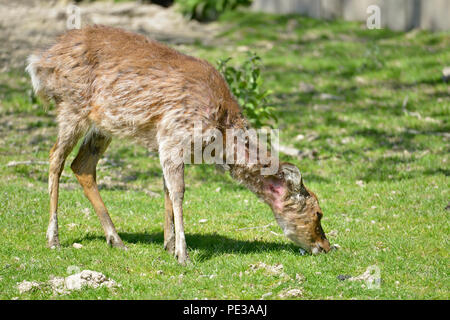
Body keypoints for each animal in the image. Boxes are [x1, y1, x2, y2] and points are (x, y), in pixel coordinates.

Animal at [27, 25, 330, 264]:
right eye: (318, 213)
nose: (326, 247)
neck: (220, 133)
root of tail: (38, 62)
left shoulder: (172, 146)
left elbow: (166, 190)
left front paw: (169, 245)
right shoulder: (172, 135)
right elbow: (178, 192)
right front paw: (183, 255)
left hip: (103, 124)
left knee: (82, 165)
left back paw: (116, 239)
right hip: (72, 106)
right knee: (55, 157)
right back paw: (53, 238)